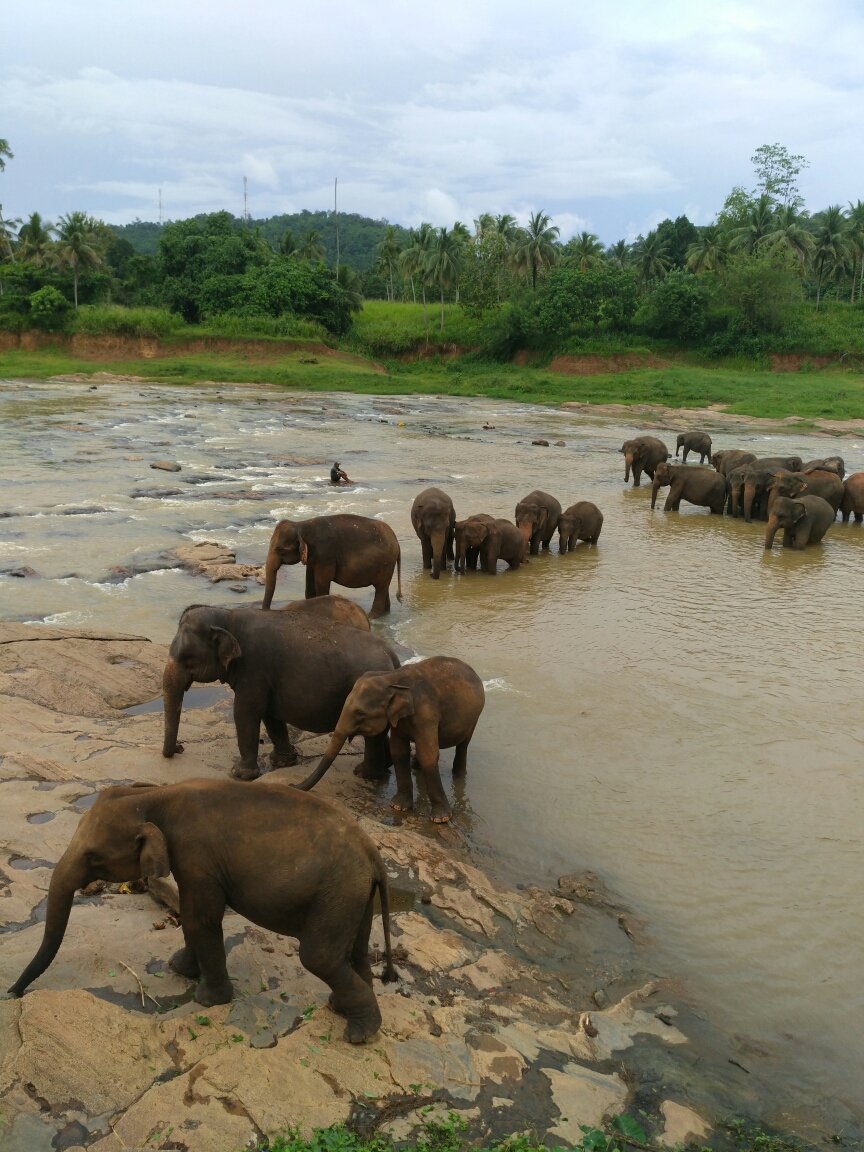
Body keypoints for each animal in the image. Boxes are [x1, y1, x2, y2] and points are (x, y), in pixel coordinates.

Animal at [5, 778, 398, 1041]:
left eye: (93, 857)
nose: (12, 993)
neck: (155, 795)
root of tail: (373, 854)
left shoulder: (196, 855)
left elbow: (200, 919)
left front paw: (208, 999)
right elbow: (192, 917)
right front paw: (180, 968)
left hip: (336, 892)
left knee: (319, 957)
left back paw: (359, 1034)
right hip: (352, 896)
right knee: (355, 953)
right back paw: (342, 1010)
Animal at [163, 603, 400, 783]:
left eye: (187, 657)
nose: (180, 747)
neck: (229, 615)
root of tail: (392, 655)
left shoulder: (253, 669)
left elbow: (245, 712)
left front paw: (240, 774)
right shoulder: (267, 678)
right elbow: (271, 715)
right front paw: (283, 761)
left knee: (373, 736)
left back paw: (364, 774)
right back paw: (380, 768)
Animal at [260, 516, 403, 622]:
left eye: (280, 549)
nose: (268, 611)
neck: (302, 524)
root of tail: (396, 540)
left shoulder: (325, 555)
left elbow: (322, 582)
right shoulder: (313, 558)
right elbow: (309, 583)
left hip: (386, 563)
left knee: (380, 588)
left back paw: (372, 617)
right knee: (383, 587)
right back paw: (385, 613)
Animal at [297, 654, 488, 824]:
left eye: (359, 713)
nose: (293, 785)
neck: (391, 678)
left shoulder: (426, 713)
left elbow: (428, 755)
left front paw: (441, 819)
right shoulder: (399, 719)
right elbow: (398, 751)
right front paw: (399, 807)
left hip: (474, 718)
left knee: (463, 745)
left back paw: (458, 775)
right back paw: (416, 765)